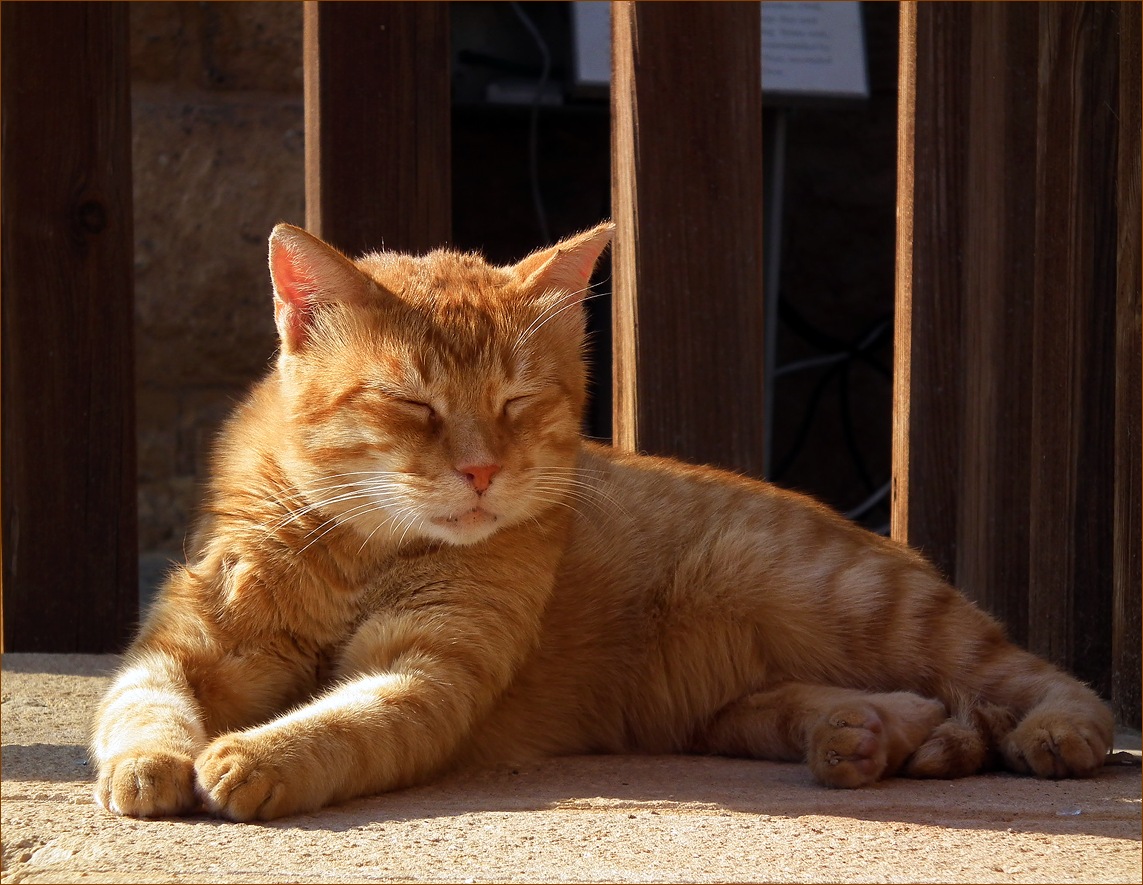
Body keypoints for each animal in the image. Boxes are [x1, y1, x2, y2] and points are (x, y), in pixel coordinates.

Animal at [93, 225, 1110, 823]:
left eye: (516, 401)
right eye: (413, 404)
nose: (480, 469)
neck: (352, 549)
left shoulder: (422, 675)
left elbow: (343, 720)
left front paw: (254, 754)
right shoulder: (180, 649)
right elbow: (144, 707)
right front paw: (149, 765)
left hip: (863, 606)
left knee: (1037, 679)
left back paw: (1051, 733)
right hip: (734, 702)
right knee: (904, 707)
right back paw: (858, 736)